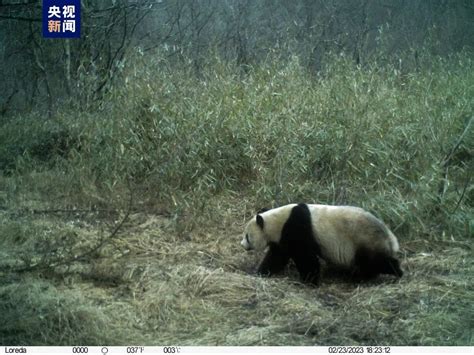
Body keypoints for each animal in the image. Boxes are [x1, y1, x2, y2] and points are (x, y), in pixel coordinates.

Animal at [243, 204, 402, 286]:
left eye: (247, 236)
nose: (242, 245)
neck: (278, 221)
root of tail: (391, 238)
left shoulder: (297, 228)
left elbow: (305, 257)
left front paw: (309, 280)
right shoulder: (283, 238)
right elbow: (277, 257)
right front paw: (261, 272)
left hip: (365, 241)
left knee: (375, 262)